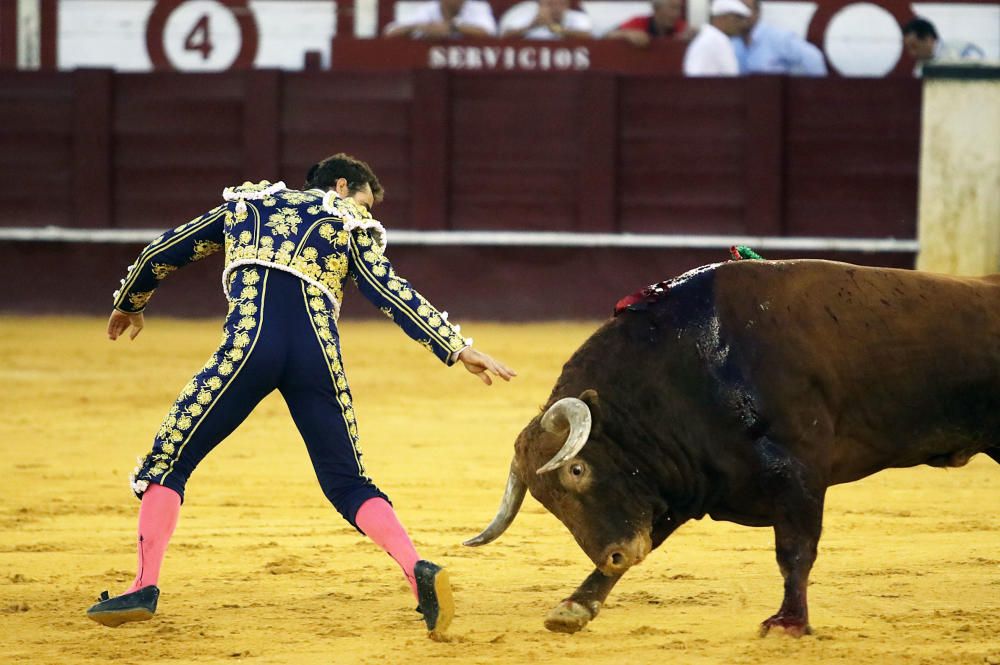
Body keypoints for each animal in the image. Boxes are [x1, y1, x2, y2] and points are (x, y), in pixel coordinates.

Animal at [464, 258, 996, 632]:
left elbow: (795, 550)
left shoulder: (799, 470)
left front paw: (788, 623)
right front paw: (575, 607)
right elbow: (654, 534)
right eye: (546, 500)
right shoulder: (690, 482)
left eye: (577, 471)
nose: (615, 554)